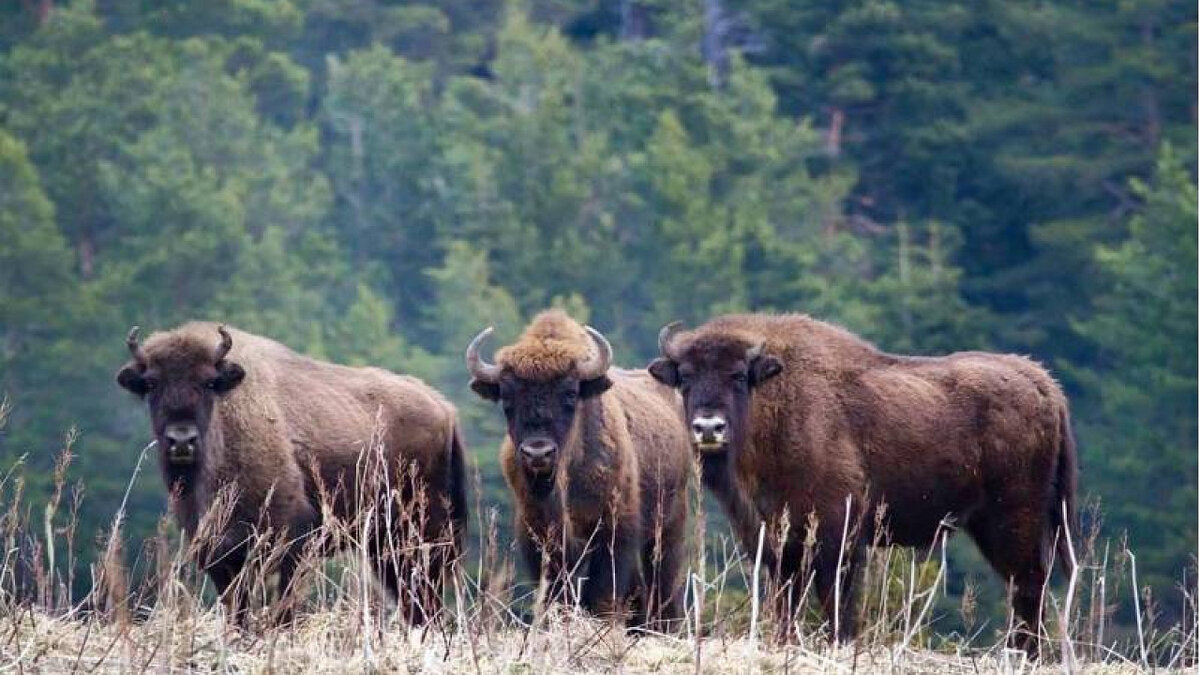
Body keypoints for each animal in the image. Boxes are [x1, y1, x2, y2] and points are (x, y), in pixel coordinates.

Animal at [115, 324, 463, 624]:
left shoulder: (292, 543)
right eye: (151, 384)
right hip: (385, 548)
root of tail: (444, 409)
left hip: (422, 538)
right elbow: (237, 612)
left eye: (209, 382)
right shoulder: (219, 556)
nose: (181, 440)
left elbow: (283, 611)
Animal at [468, 309, 696, 624]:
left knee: (663, 584)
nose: (538, 453)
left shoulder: (614, 531)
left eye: (570, 394)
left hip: (669, 526)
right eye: (507, 398)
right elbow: (557, 594)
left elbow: (602, 594)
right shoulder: (539, 536)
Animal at [648, 314, 1080, 653]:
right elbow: (787, 600)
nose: (709, 427)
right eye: (685, 377)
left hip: (1012, 521)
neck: (774, 404)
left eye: (738, 375)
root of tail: (1044, 385)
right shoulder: (775, 541)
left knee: (1029, 583)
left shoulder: (838, 536)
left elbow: (837, 601)